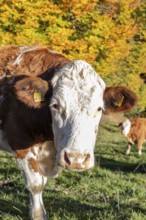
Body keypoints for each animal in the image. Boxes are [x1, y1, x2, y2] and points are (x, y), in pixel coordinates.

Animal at [0, 45, 137, 219]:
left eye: (99, 108)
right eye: (55, 105)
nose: (76, 159)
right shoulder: (19, 142)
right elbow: (36, 184)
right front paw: (38, 214)